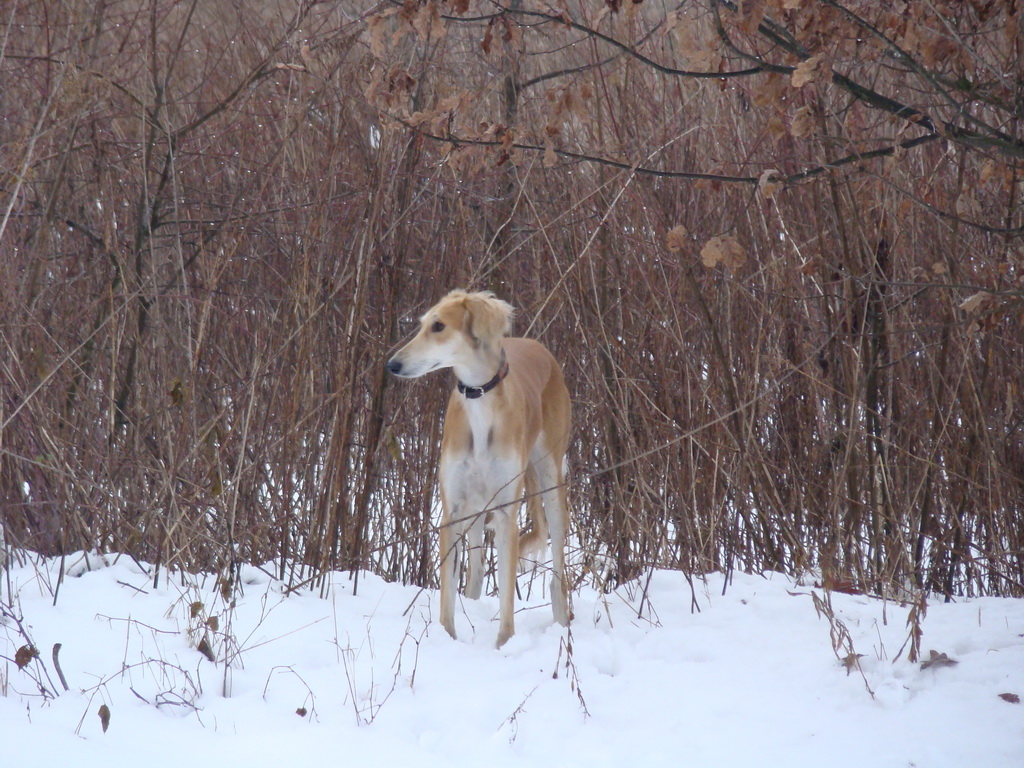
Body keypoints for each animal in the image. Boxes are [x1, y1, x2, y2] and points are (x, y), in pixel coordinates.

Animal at [387, 290, 573, 647]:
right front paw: (448, 637)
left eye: (439, 326)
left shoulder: (505, 512)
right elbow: (448, 592)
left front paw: (504, 643)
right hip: (474, 508)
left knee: (557, 572)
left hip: (550, 480)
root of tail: (537, 346)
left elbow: (507, 594)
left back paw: (562, 625)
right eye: (422, 324)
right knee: (474, 573)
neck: (479, 402)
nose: (392, 365)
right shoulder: (452, 510)